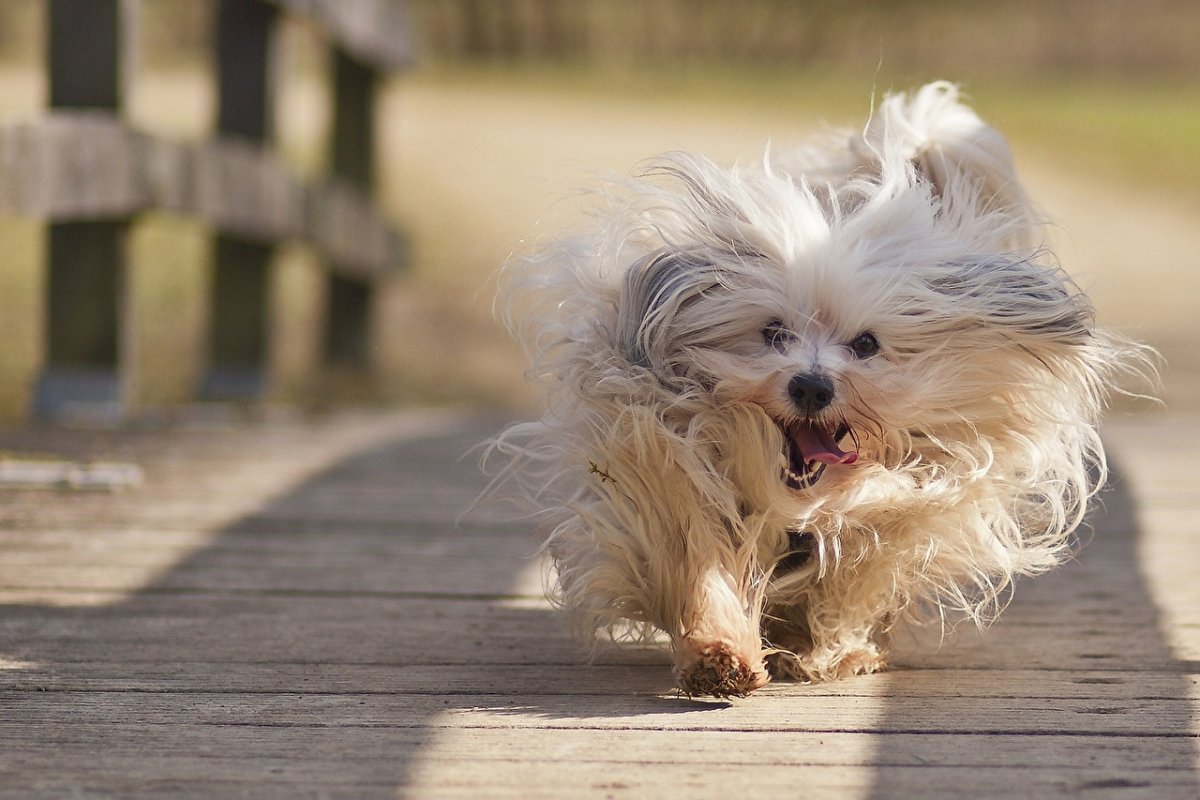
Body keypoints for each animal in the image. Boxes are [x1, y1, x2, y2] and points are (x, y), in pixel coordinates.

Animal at [484, 77, 1142, 695]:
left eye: (867, 344)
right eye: (773, 332)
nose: (811, 386)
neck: (795, 497)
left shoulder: (908, 507)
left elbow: (856, 576)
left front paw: (836, 650)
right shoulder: (669, 473)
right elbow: (701, 565)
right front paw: (719, 652)